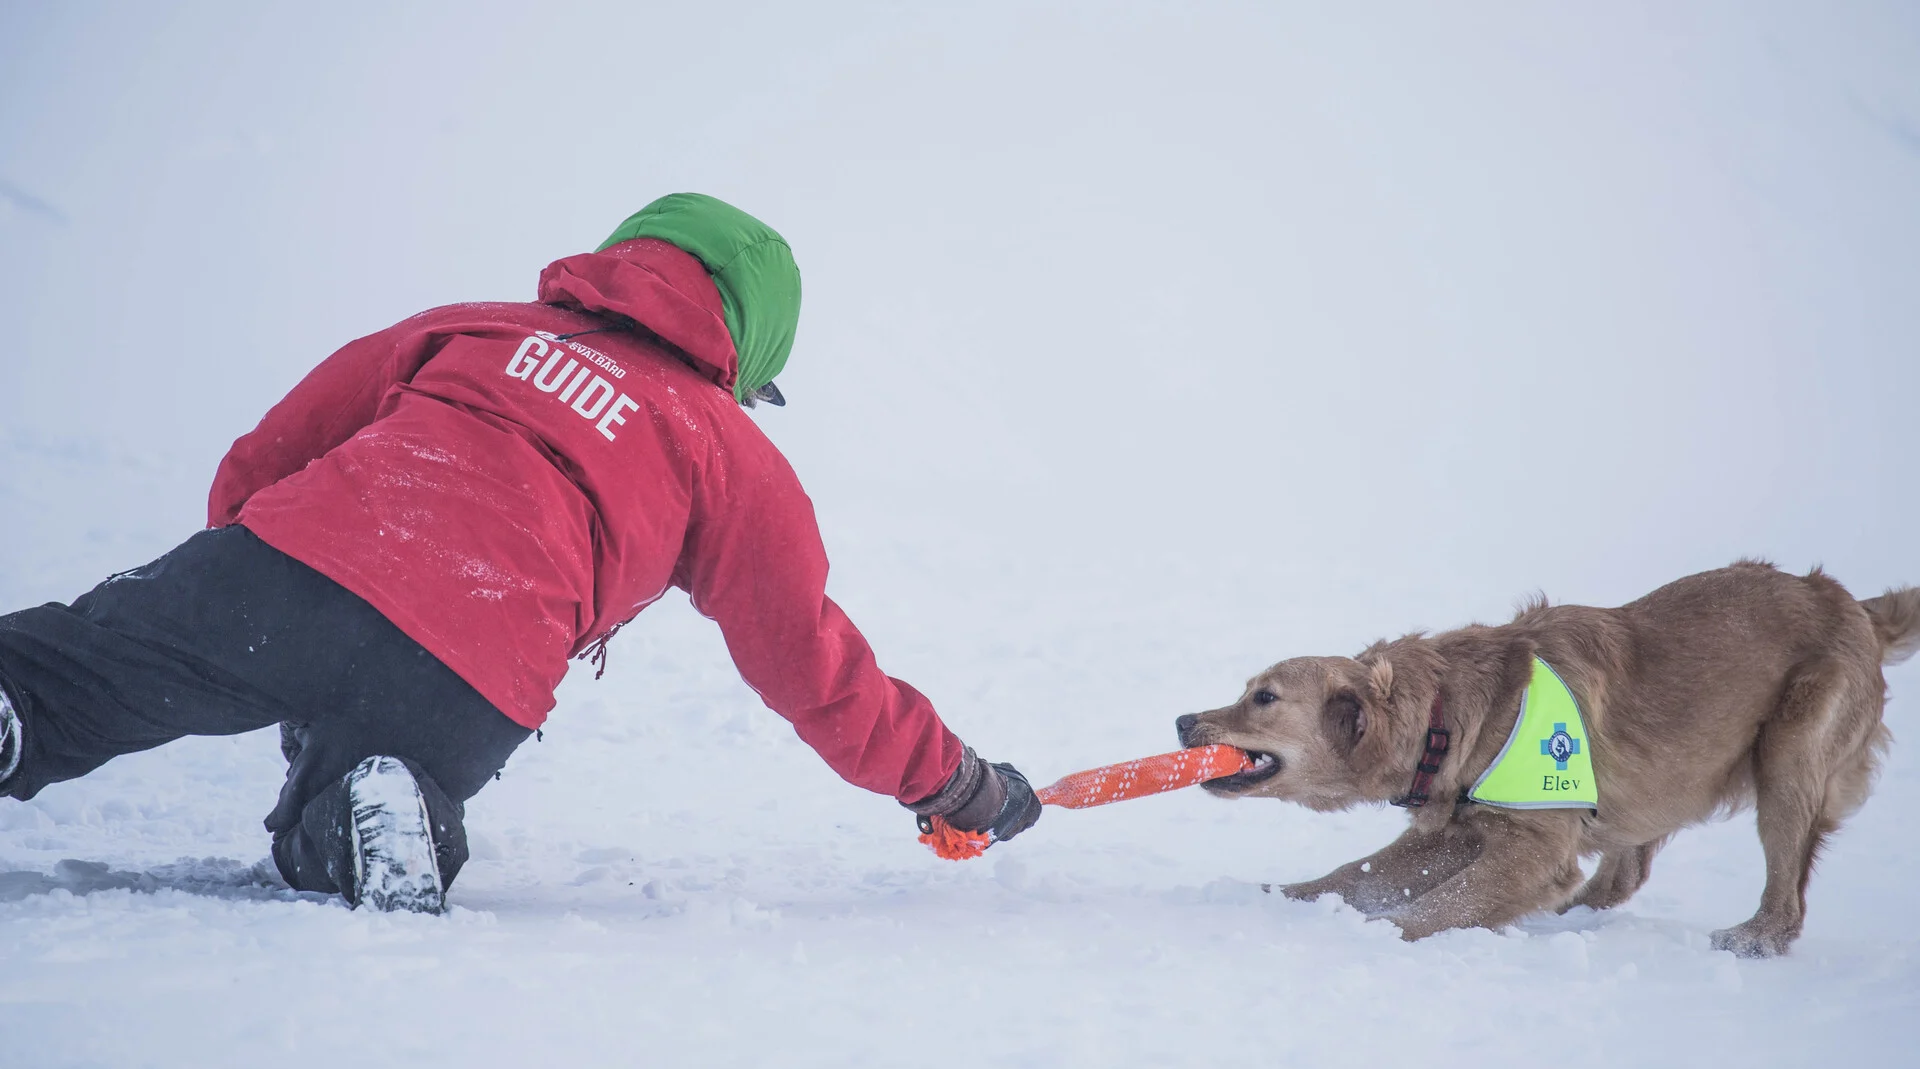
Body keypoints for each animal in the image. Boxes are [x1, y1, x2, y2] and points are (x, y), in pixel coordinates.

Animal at [1175, 564, 1912, 955]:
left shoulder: (1529, 845)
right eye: (1247, 689)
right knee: (1624, 872)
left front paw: (1374, 934)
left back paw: (1754, 936)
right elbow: (1352, 873)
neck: (1447, 713)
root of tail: (1849, 601)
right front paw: (1277, 898)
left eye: (1264, 697)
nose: (1184, 722)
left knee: (1786, 897)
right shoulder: (1462, 829)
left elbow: (1436, 908)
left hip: (1787, 757)